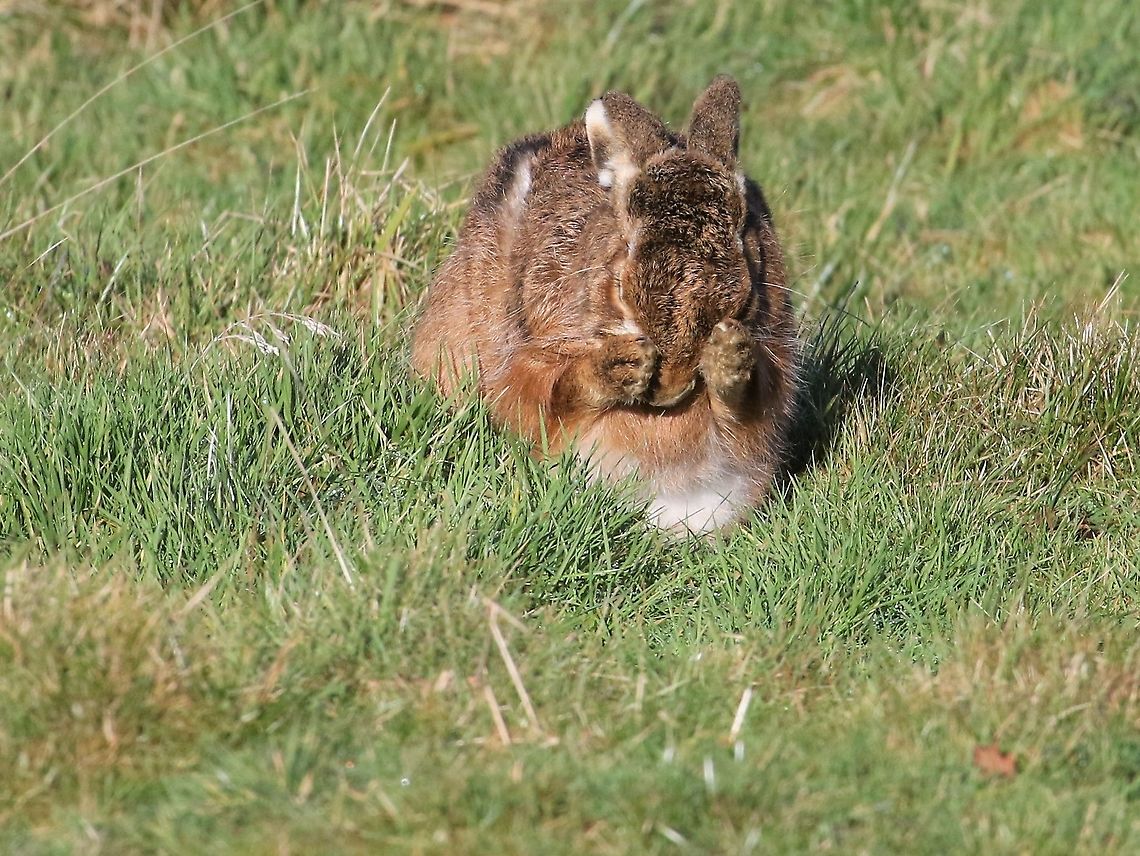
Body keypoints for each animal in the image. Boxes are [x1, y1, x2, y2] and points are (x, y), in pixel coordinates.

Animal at [411, 76, 800, 534]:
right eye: (624, 256)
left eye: (744, 242)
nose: (669, 389)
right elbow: (544, 399)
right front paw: (619, 366)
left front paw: (728, 360)